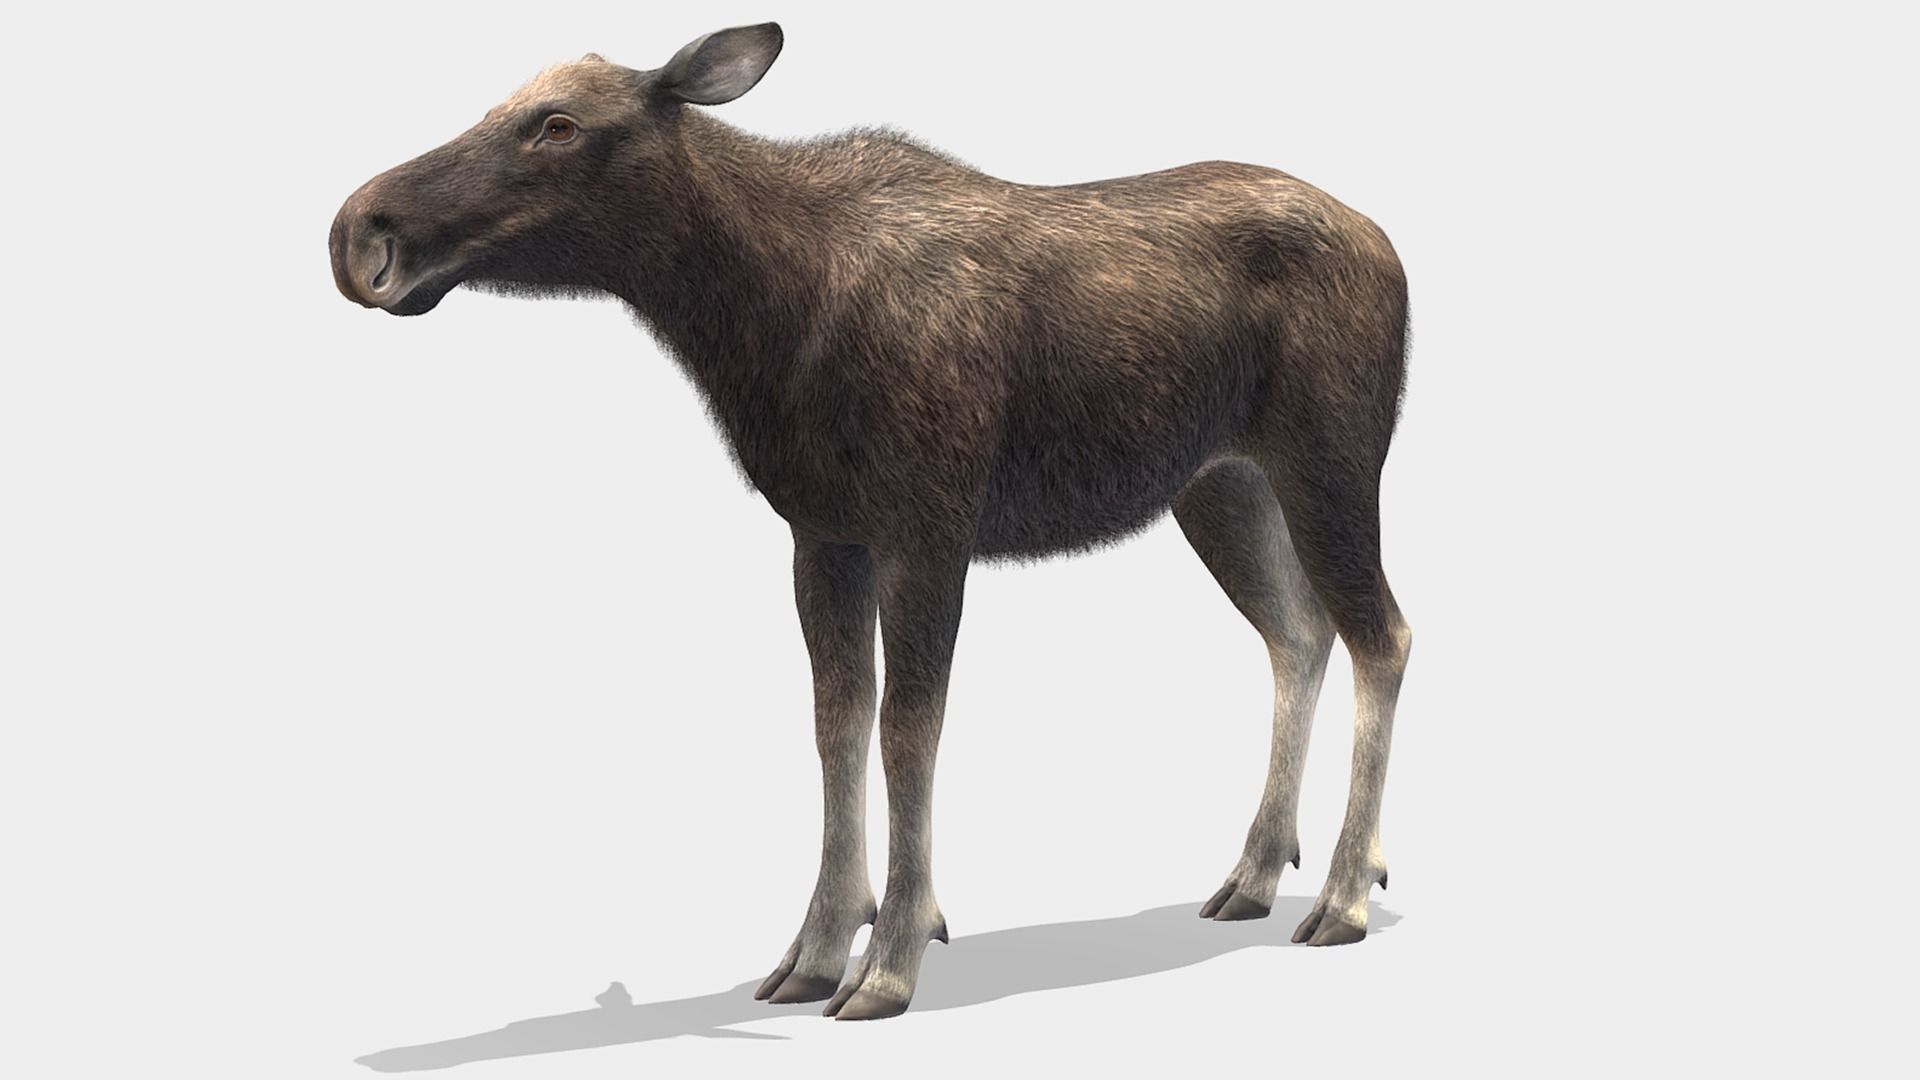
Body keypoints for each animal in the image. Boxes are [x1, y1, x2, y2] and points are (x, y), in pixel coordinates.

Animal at [329, 22, 1413, 1021]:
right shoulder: (824, 534)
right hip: (1220, 485)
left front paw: (890, 956)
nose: (361, 231)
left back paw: (1344, 896)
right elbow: (836, 723)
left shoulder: (929, 527)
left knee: (1382, 635)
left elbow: (907, 729)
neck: (756, 319)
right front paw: (813, 951)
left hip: (1330, 461)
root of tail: (1385, 241)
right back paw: (1255, 874)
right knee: (1297, 634)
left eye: (557, 124)